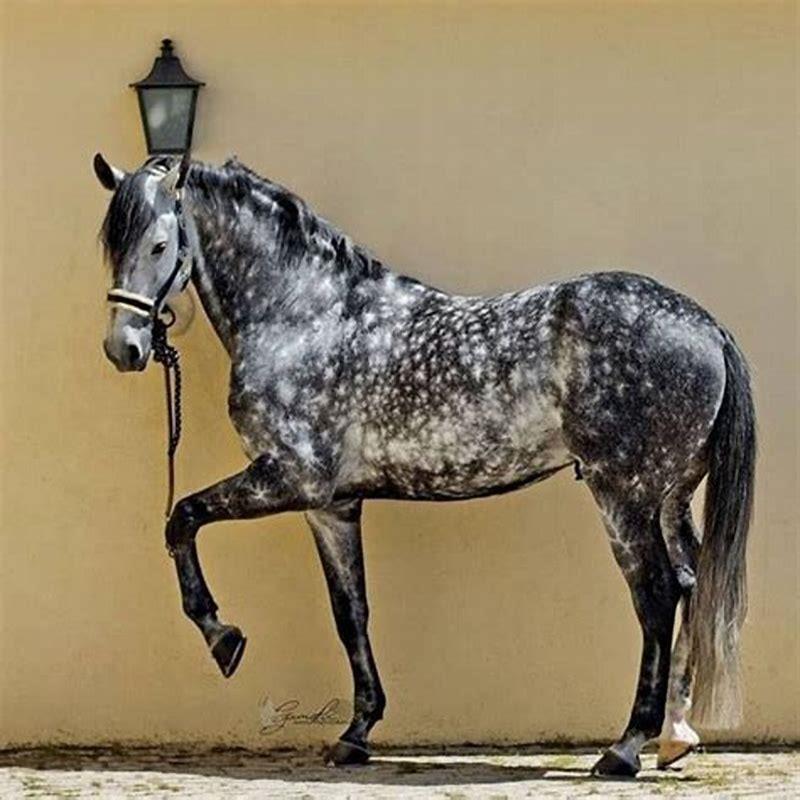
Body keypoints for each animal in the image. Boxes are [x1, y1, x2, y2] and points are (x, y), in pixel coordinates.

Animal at [93, 152, 755, 777]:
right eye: (113, 245)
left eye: (160, 243)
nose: (124, 348)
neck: (305, 316)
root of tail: (705, 327)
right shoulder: (332, 506)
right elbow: (350, 611)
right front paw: (357, 733)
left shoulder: (289, 479)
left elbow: (182, 518)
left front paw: (222, 638)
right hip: (670, 497)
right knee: (691, 583)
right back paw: (676, 736)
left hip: (623, 496)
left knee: (656, 594)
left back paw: (626, 747)